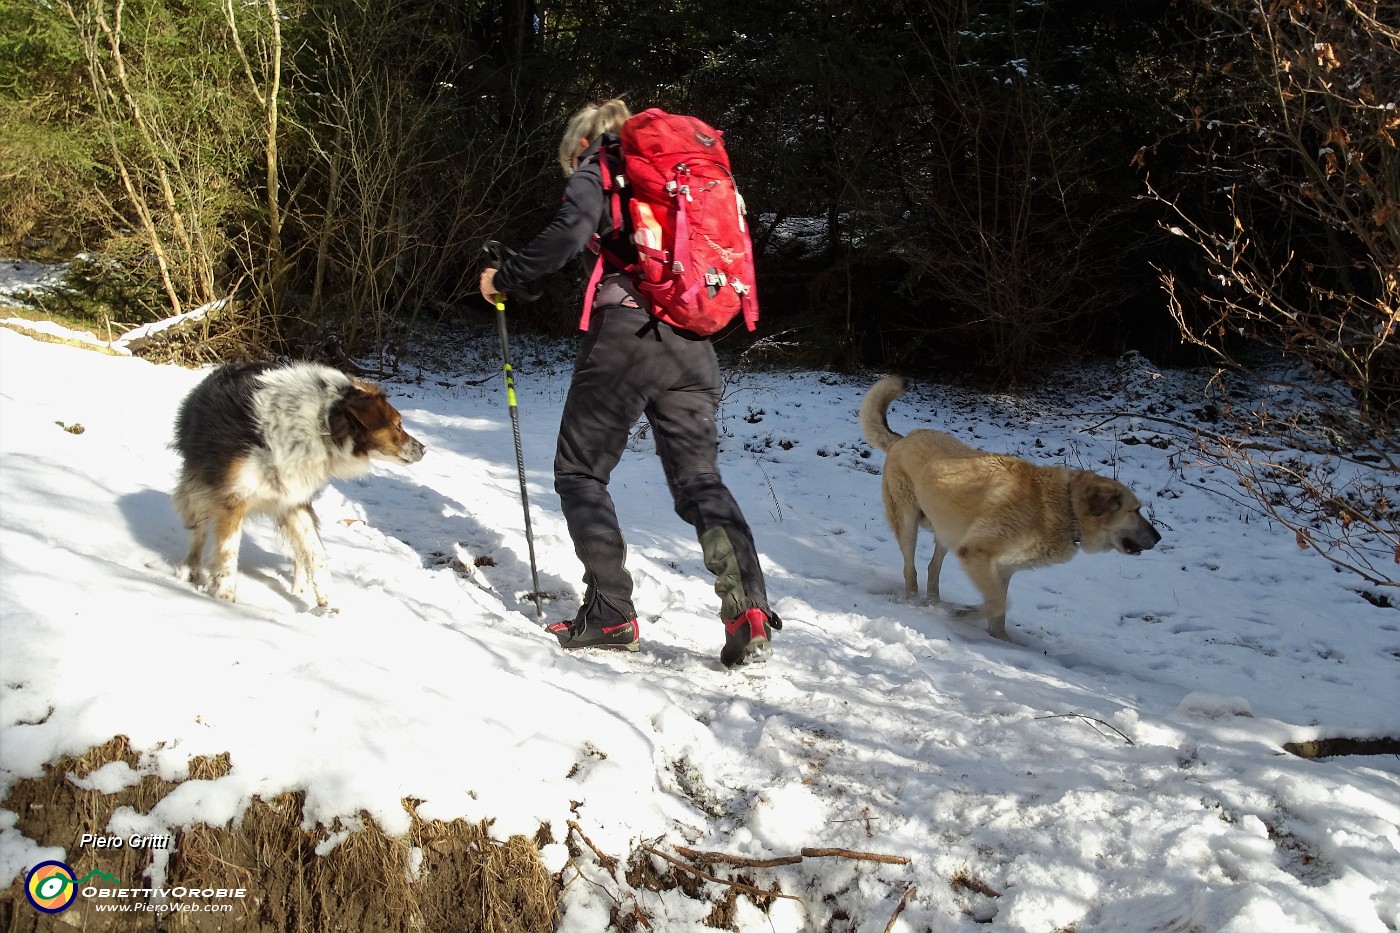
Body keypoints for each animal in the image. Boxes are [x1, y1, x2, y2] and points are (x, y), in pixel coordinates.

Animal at [856, 375, 1164, 636]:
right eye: (1136, 510)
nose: (1159, 538)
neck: (1064, 507)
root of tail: (903, 438)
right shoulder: (976, 554)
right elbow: (999, 604)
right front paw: (965, 614)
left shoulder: (1002, 570)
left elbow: (1000, 610)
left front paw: (1000, 640)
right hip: (909, 523)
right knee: (911, 569)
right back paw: (916, 602)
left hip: (947, 529)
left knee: (933, 568)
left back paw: (935, 602)